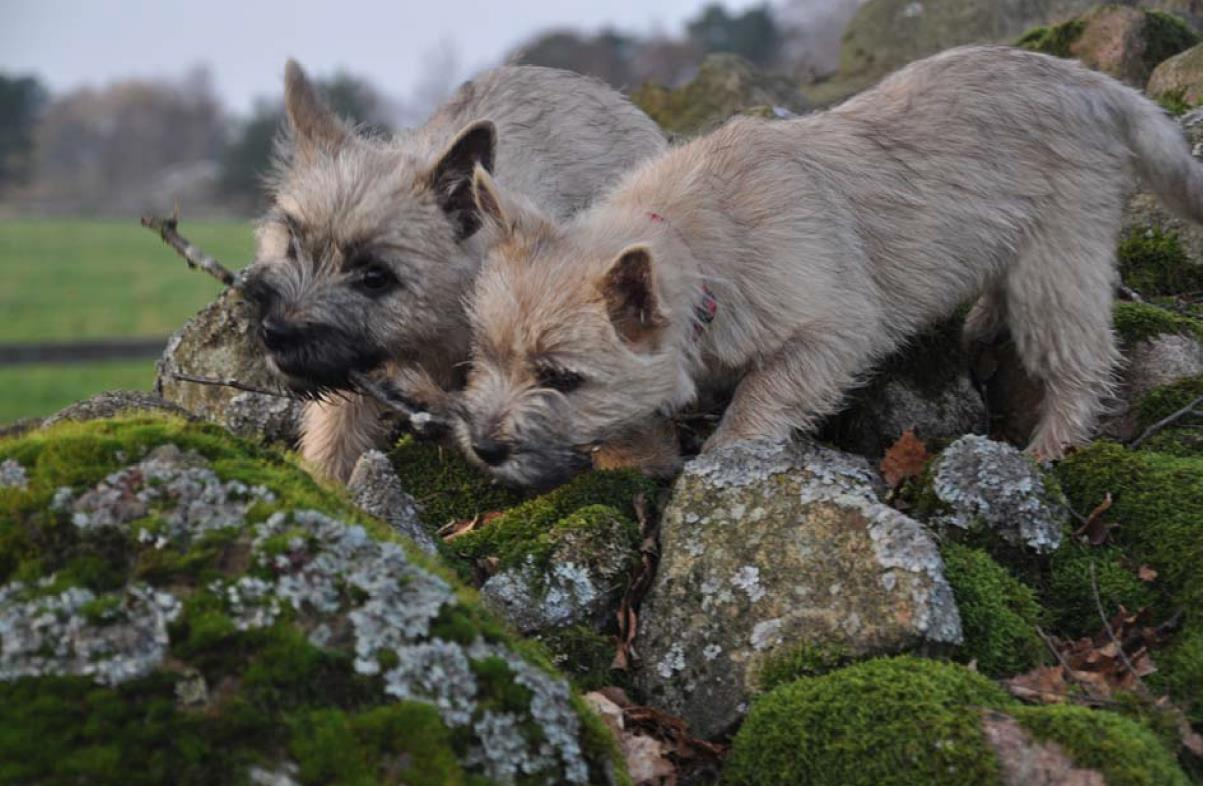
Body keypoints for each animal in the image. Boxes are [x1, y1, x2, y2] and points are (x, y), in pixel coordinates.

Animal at [455, 46, 1200, 487]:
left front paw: (719, 456)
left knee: (1080, 360)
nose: (485, 447)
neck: (697, 246)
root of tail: (1090, 82)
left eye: (562, 378)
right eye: (484, 355)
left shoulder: (831, 332)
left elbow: (761, 399)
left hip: (1058, 261)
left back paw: (1053, 446)